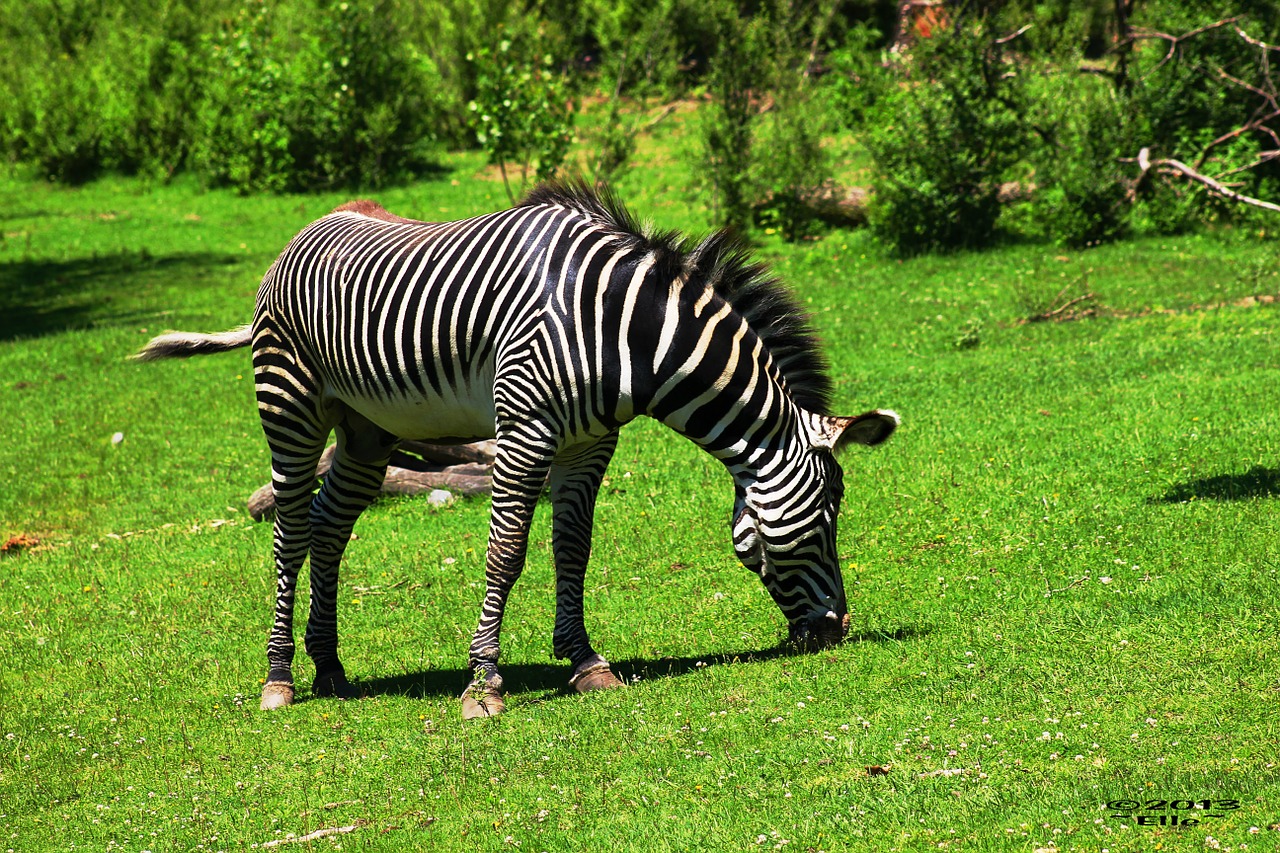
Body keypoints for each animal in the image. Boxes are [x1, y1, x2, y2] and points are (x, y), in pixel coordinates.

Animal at [135, 183, 896, 712]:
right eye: (828, 515)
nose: (836, 629)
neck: (627, 332)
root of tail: (303, 232)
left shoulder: (591, 441)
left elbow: (572, 548)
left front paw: (586, 663)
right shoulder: (525, 425)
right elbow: (506, 552)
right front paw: (484, 684)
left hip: (366, 430)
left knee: (328, 528)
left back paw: (329, 667)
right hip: (290, 402)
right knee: (290, 530)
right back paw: (280, 678)